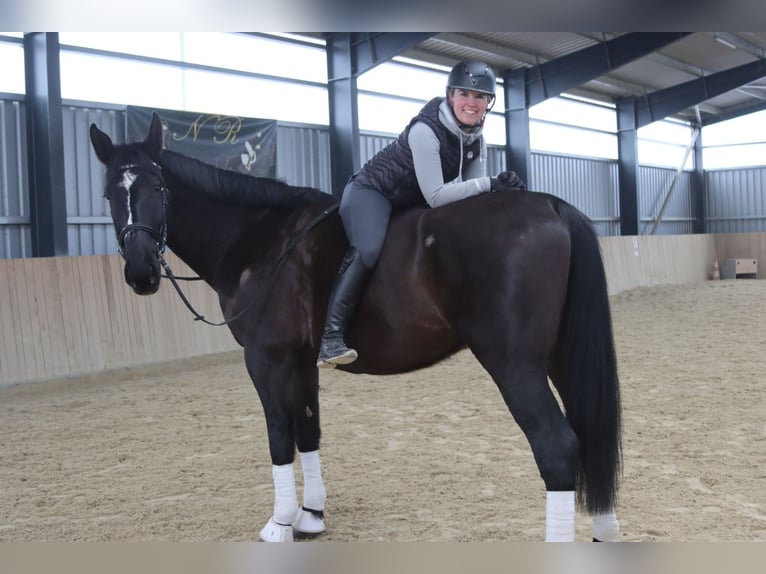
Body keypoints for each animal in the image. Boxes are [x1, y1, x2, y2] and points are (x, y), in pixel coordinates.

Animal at [88, 113, 624, 544]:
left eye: (158, 190)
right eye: (111, 192)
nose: (140, 273)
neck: (260, 238)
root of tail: (551, 207)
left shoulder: (266, 359)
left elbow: (279, 433)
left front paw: (279, 524)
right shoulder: (302, 362)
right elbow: (308, 430)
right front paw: (310, 516)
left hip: (513, 364)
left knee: (557, 447)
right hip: (559, 357)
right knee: (589, 436)